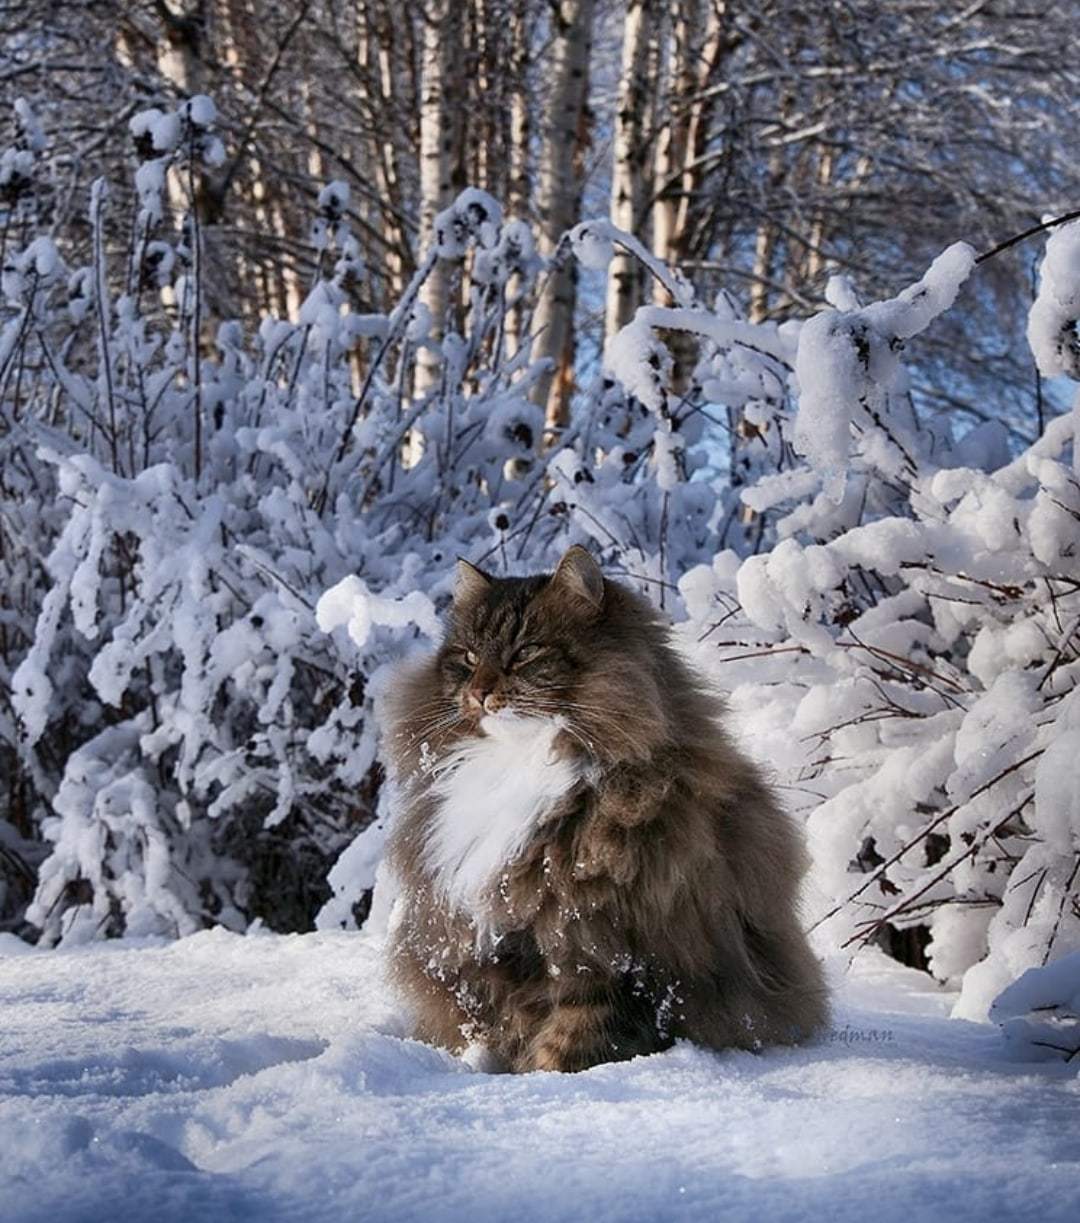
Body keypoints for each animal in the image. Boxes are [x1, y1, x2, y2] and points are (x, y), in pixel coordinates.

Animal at [386, 545, 826, 1071]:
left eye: (525, 652)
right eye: (468, 658)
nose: (479, 692)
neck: (522, 762)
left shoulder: (602, 950)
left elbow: (573, 1036)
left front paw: (545, 1077)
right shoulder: (498, 949)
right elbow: (515, 1025)